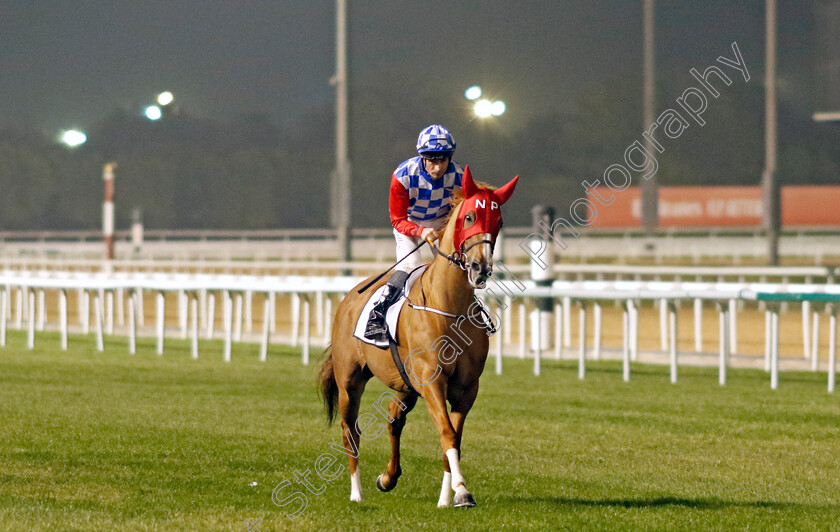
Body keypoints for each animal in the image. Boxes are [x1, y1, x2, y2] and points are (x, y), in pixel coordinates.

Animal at [318, 166, 520, 508]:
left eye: (499, 221)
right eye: (469, 217)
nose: (480, 268)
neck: (448, 306)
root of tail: (348, 299)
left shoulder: (466, 387)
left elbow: (452, 437)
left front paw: (446, 498)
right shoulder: (431, 379)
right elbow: (447, 433)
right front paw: (462, 491)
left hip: (405, 384)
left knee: (393, 417)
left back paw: (388, 477)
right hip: (350, 380)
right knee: (351, 431)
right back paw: (356, 493)